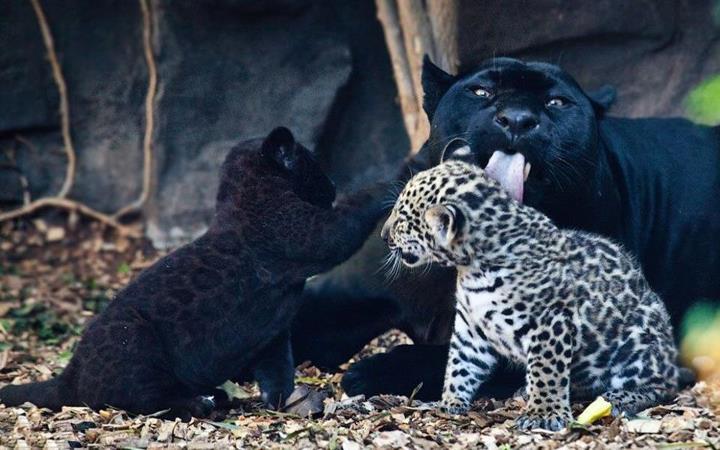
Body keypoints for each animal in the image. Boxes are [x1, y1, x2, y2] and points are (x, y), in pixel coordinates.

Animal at [0, 127, 388, 419]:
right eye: (312, 162)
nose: (333, 185)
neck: (249, 195)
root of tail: (71, 373)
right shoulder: (308, 233)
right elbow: (348, 213)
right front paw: (389, 186)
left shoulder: (272, 333)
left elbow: (277, 366)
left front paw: (279, 400)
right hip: (135, 340)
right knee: (142, 400)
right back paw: (202, 403)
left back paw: (217, 395)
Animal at [381, 157, 679, 431]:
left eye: (402, 218)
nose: (384, 236)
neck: (473, 269)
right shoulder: (471, 329)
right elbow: (459, 366)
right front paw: (449, 403)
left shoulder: (551, 322)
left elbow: (546, 371)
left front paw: (543, 414)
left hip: (639, 347)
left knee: (661, 386)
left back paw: (618, 398)